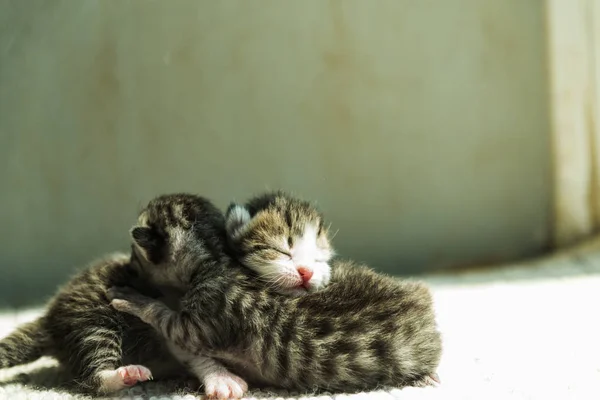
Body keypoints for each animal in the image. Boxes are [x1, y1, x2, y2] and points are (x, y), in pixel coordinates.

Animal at [0, 194, 229, 394]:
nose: (129, 268)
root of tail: (49, 318)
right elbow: (195, 353)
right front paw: (222, 379)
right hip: (94, 324)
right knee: (94, 375)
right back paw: (120, 376)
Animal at [109, 192, 446, 396]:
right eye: (282, 251)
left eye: (136, 254)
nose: (128, 267)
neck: (215, 259)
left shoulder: (203, 318)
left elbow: (167, 320)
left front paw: (132, 299)